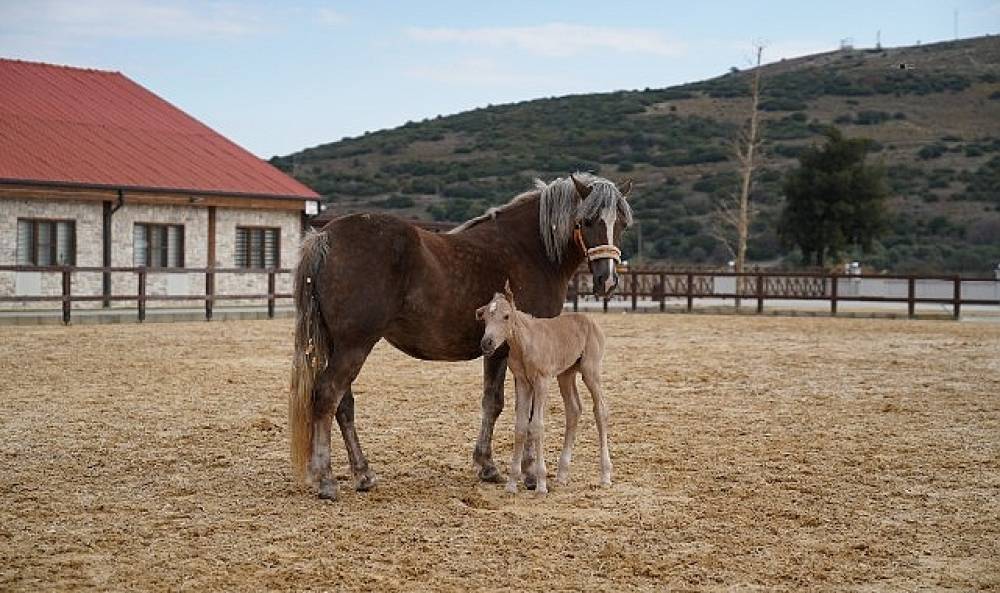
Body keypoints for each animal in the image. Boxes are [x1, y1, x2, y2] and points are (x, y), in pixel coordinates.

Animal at [292, 172, 632, 500]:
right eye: (587, 221)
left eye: (622, 223)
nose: (607, 281)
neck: (529, 250)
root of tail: (326, 237)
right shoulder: (511, 354)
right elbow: (511, 408)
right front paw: (525, 472)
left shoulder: (503, 353)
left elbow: (494, 404)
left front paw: (488, 466)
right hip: (355, 345)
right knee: (327, 396)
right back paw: (326, 479)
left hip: (338, 345)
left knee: (343, 404)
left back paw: (363, 474)